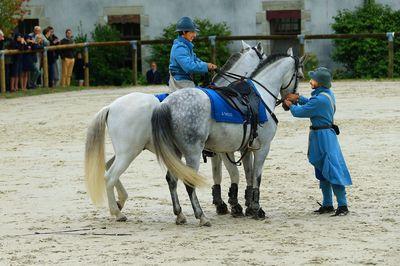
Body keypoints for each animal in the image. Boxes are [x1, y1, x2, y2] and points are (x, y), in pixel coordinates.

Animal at [152, 47, 304, 224]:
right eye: (300, 76)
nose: (292, 102)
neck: (260, 96)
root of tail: (167, 104)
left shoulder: (241, 148)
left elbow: (245, 174)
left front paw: (244, 205)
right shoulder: (260, 148)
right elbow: (254, 176)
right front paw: (255, 208)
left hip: (175, 152)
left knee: (172, 179)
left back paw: (180, 214)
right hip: (192, 153)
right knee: (189, 183)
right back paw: (201, 216)